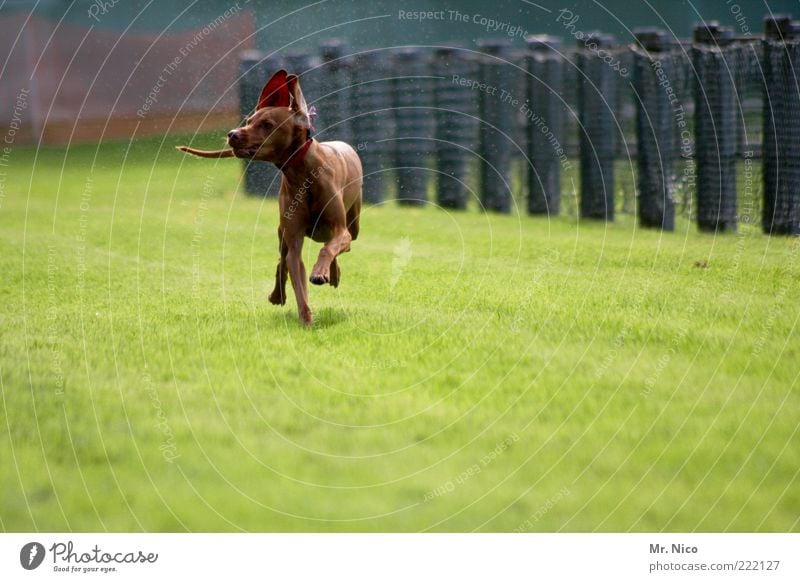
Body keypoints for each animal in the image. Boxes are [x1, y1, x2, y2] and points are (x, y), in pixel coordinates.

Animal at [178, 70, 362, 326]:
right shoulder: (293, 239)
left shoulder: (340, 229)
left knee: (339, 244)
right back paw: (278, 294)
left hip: (353, 225)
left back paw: (331, 273)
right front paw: (306, 320)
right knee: (282, 261)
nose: (232, 134)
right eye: (248, 120)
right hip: (282, 232)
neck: (302, 174)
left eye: (267, 125)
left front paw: (319, 272)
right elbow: (296, 276)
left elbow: (328, 249)